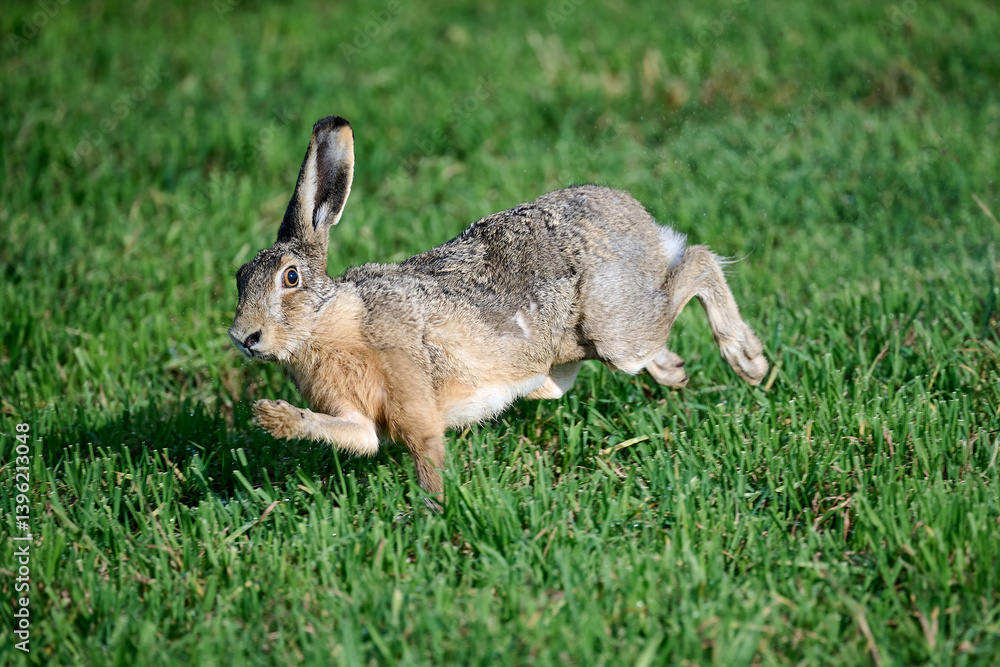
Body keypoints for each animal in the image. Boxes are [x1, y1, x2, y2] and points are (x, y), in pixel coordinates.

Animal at [229, 115, 768, 508]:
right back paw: (675, 371)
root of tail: (640, 220)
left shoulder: (412, 399)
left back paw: (749, 361)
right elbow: (355, 436)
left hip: (616, 332)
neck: (331, 324)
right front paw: (273, 418)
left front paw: (433, 514)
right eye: (239, 277)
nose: (244, 337)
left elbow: (427, 454)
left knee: (698, 262)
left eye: (290, 278)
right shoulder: (356, 416)